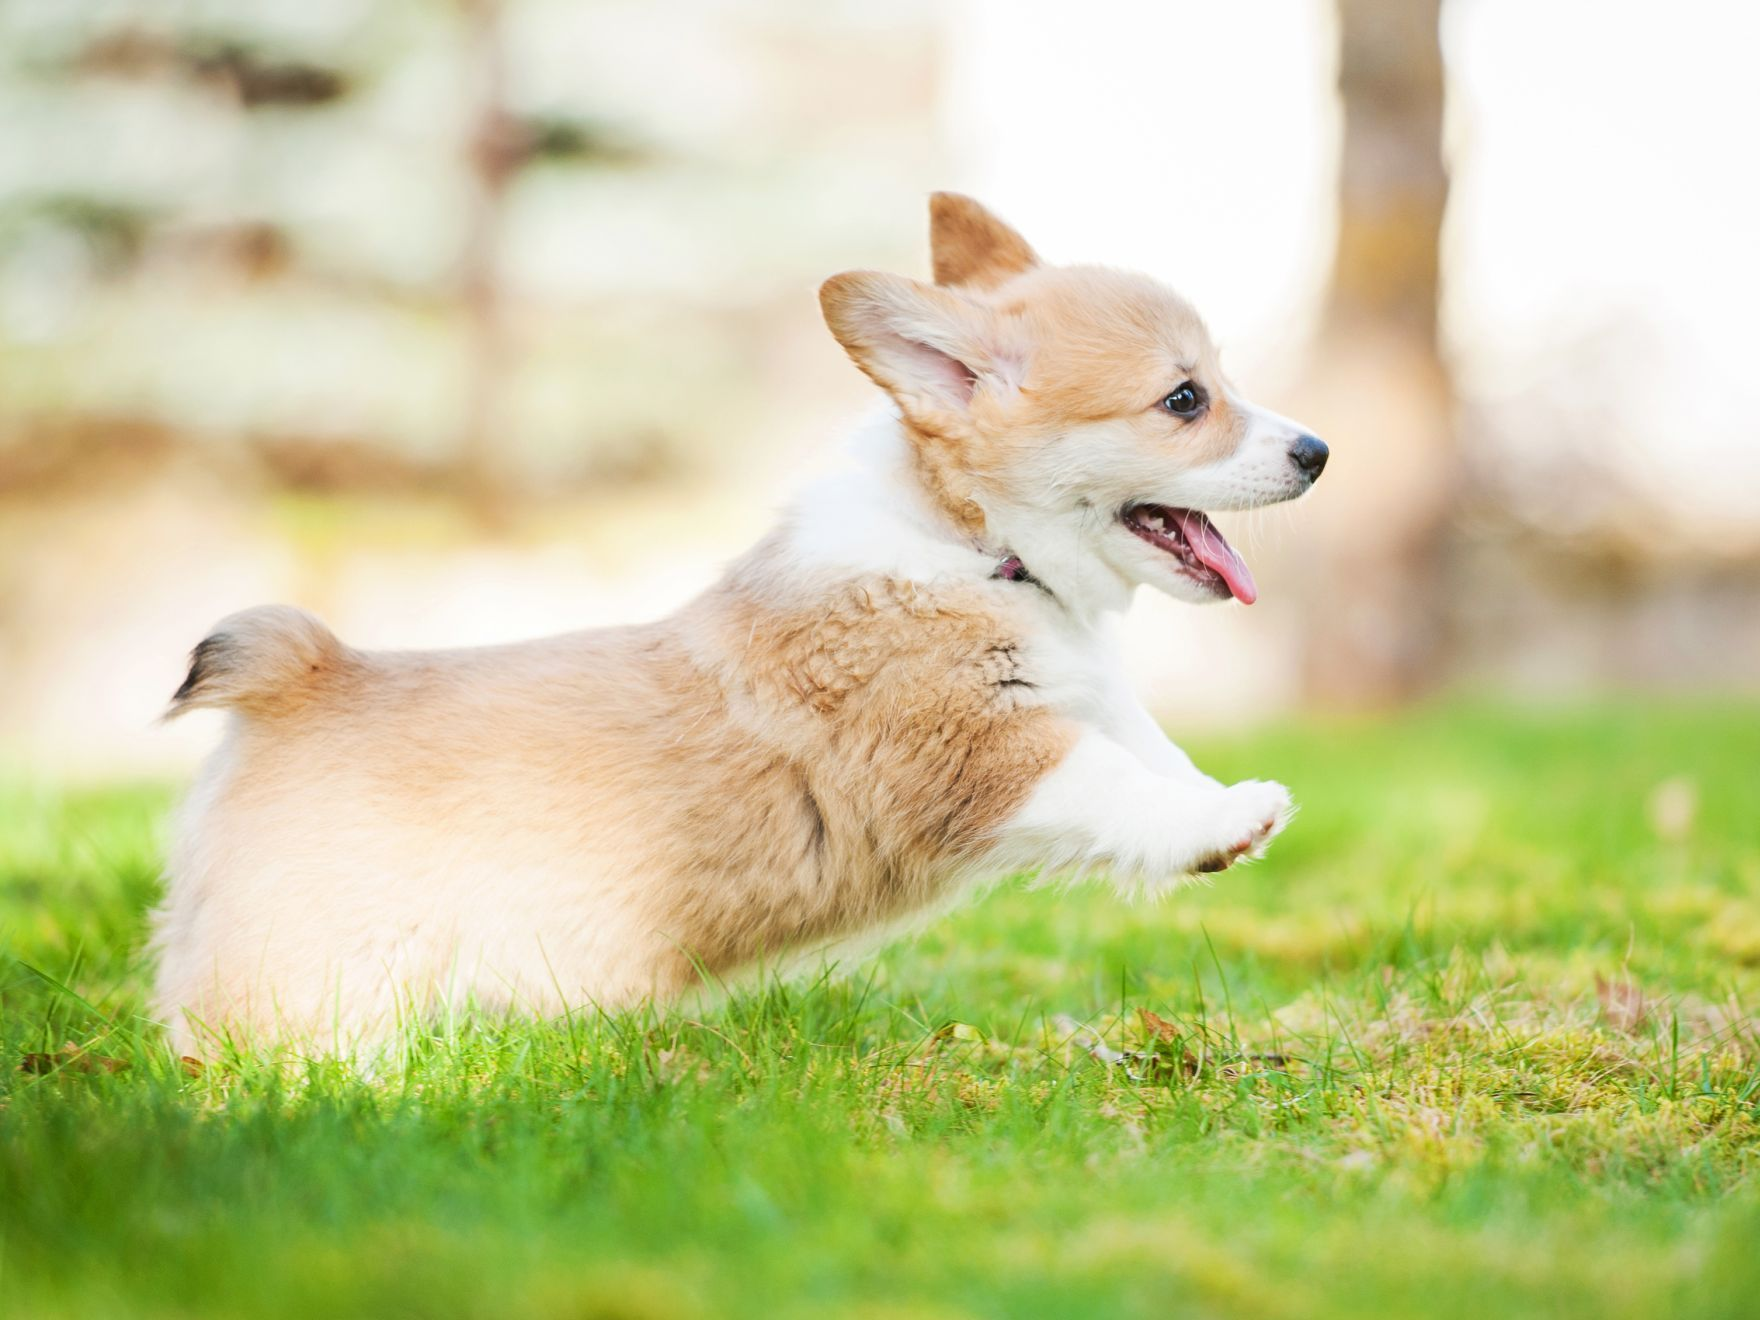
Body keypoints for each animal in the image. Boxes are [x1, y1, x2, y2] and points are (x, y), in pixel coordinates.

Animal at [154, 196, 1330, 1063]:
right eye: (1184, 400)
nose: (1318, 450)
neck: (975, 540)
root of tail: (304, 674)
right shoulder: (973, 752)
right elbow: (1116, 783)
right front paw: (1230, 823)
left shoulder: (1083, 698)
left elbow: (1157, 759)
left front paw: (1222, 804)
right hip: (306, 977)